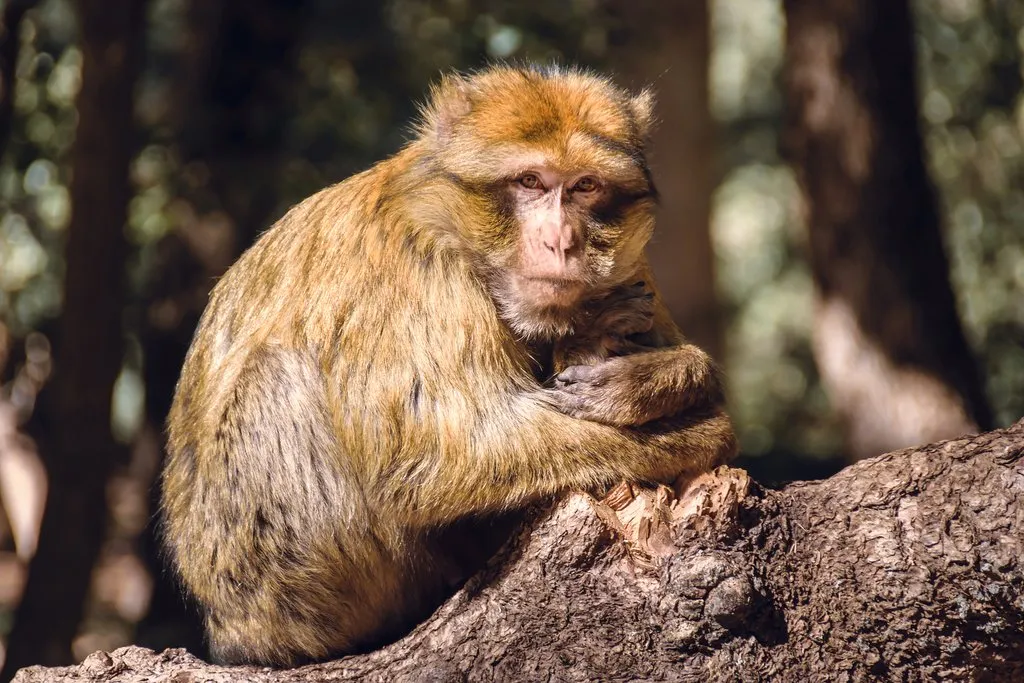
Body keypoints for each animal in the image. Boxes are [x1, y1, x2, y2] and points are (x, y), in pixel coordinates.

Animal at [159, 65, 737, 667]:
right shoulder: (416, 272)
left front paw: (659, 378)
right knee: (278, 376)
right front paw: (694, 431)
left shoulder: (635, 265)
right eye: (530, 181)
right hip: (283, 582)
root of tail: (232, 632)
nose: (560, 241)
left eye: (584, 186)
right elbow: (442, 451)